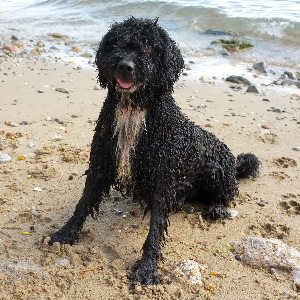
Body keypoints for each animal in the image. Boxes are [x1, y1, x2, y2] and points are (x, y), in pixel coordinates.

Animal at [47, 17, 260, 288]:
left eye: (150, 48)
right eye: (118, 42)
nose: (125, 66)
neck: (133, 109)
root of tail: (234, 164)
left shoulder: (163, 178)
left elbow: (156, 229)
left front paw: (147, 268)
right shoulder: (101, 164)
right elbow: (82, 205)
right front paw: (64, 233)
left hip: (215, 167)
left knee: (227, 193)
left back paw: (215, 207)